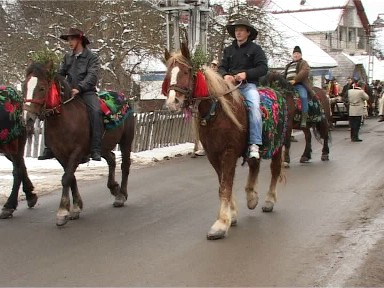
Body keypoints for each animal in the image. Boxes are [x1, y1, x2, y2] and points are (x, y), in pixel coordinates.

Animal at [23, 61, 135, 227]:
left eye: (42, 88)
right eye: (24, 86)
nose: (27, 118)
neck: (63, 120)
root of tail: (123, 98)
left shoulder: (76, 152)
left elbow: (66, 178)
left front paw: (63, 212)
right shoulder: (60, 154)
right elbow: (71, 178)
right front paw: (76, 207)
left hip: (126, 141)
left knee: (125, 165)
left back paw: (121, 195)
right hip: (102, 147)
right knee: (112, 159)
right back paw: (114, 188)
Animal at [163, 43, 292, 241]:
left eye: (186, 71)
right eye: (169, 73)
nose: (172, 102)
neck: (217, 112)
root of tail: (275, 91)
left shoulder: (229, 152)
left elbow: (225, 186)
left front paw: (221, 224)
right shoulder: (213, 155)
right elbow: (223, 183)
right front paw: (231, 214)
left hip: (278, 145)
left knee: (274, 170)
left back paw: (269, 200)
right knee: (254, 165)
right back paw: (251, 197)